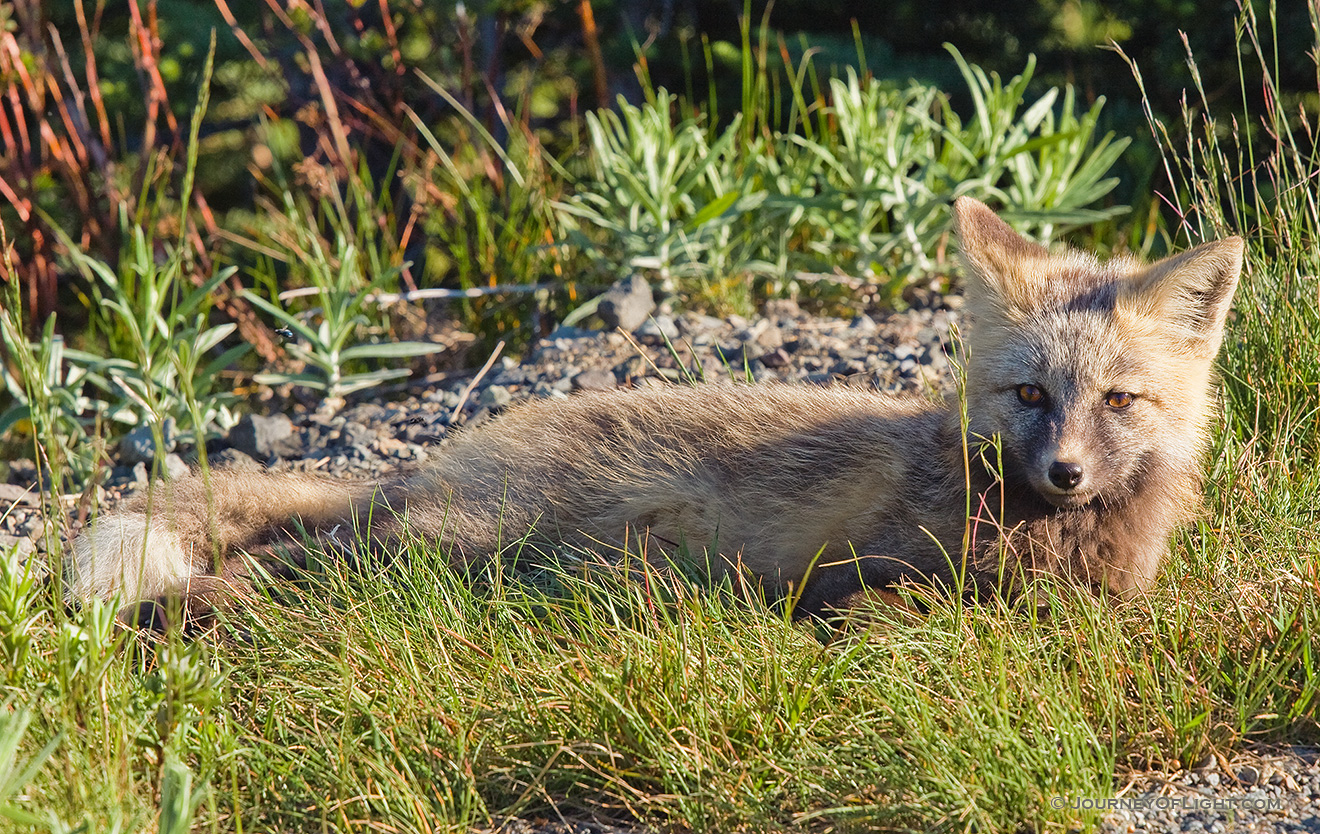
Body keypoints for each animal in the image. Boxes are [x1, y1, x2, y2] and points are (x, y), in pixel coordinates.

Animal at [66, 199, 1240, 622]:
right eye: (1030, 394)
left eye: (1120, 400)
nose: (1066, 474)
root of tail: (429, 462)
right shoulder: (882, 568)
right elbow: (888, 603)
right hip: (451, 543)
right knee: (275, 563)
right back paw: (174, 619)